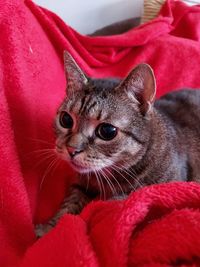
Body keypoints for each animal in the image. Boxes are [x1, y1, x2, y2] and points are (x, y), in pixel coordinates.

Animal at [35, 51, 200, 237]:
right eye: (66, 120)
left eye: (107, 131)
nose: (72, 149)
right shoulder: (81, 184)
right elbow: (69, 203)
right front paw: (49, 229)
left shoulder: (163, 189)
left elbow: (121, 199)